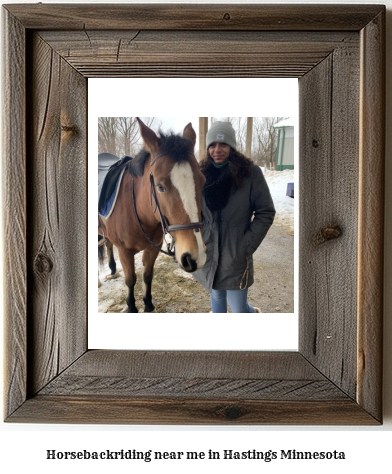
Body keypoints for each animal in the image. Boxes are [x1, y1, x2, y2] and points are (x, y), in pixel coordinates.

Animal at [98, 117, 207, 312]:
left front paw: (148, 304)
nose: (196, 257)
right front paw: (131, 307)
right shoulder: (125, 252)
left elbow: (147, 276)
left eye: (203, 181)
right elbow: (131, 280)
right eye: (160, 186)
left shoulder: (152, 248)